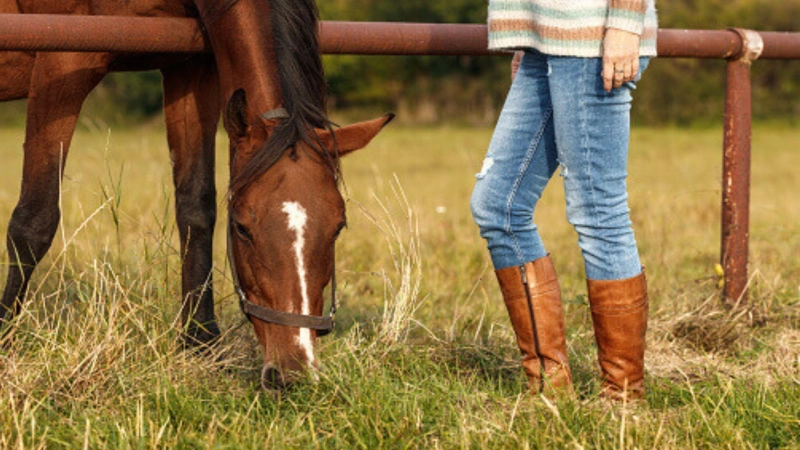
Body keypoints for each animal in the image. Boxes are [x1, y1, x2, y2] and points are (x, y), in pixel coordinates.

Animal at [0, 0, 394, 388]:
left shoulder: (190, 67)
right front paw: (4, 340)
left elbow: (196, 208)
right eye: (242, 229)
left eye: (338, 228)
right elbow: (34, 221)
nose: (293, 372)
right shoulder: (63, 58)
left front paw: (201, 342)